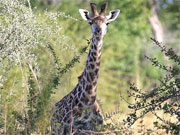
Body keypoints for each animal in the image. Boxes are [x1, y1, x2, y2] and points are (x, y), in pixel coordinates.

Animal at [50, 2, 120, 134]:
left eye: (107, 23)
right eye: (90, 22)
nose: (98, 31)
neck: (87, 100)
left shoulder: (95, 129)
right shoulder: (70, 129)